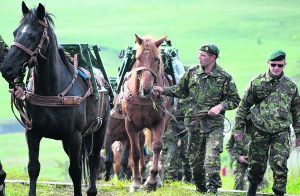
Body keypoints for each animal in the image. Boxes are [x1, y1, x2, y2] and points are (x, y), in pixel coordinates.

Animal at [0, 1, 110, 196]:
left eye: (32, 36)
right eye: (15, 32)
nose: (7, 68)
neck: (52, 91)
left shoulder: (74, 136)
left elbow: (75, 171)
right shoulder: (32, 133)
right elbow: (33, 168)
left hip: (100, 128)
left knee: (93, 158)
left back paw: (92, 190)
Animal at [122, 34, 173, 191]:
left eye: (156, 59)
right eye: (138, 58)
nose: (146, 88)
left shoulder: (160, 121)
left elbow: (157, 146)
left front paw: (152, 180)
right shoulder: (130, 123)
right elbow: (135, 152)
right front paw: (136, 182)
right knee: (139, 142)